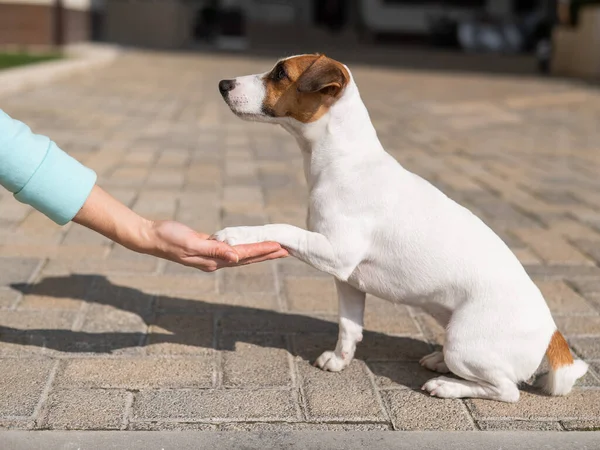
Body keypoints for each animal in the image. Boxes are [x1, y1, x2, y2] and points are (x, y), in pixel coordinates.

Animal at [213, 54, 588, 402]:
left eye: (280, 73)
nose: (223, 84)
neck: (346, 162)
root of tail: (554, 334)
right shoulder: (348, 279)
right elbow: (349, 327)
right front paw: (339, 360)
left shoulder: (336, 254)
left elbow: (281, 227)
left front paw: (236, 233)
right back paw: (438, 362)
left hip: (464, 343)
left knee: (505, 389)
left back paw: (447, 385)